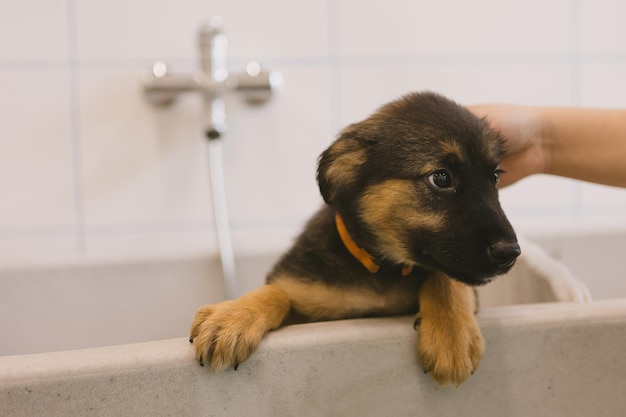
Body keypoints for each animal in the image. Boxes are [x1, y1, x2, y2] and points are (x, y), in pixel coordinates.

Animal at [189, 92, 516, 386]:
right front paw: (233, 316)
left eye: (495, 177)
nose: (511, 253)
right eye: (441, 178)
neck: (380, 267)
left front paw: (452, 335)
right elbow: (278, 291)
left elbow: (443, 276)